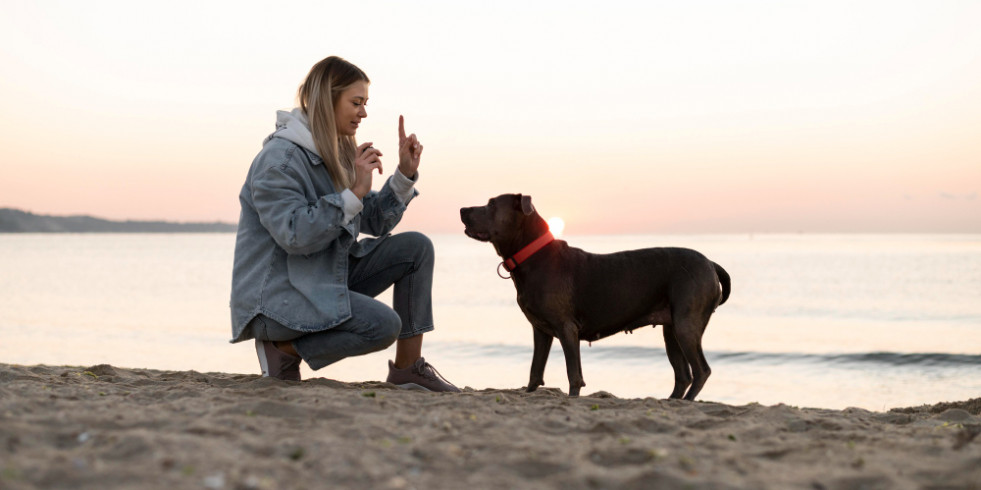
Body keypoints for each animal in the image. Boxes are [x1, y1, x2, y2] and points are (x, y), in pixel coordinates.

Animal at [460, 193, 728, 400]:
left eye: (492, 204)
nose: (462, 209)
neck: (533, 256)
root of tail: (710, 263)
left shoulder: (566, 329)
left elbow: (574, 375)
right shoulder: (541, 331)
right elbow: (535, 371)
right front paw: (528, 395)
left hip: (686, 324)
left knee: (701, 371)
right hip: (671, 329)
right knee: (683, 375)